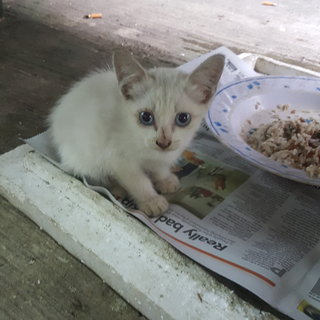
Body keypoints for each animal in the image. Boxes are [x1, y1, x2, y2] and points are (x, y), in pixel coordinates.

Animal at [49, 48, 225, 216]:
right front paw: (151, 200)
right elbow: (138, 181)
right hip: (85, 155)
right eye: (145, 117)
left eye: (183, 118)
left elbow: (160, 167)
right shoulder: (119, 158)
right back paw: (116, 188)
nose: (163, 142)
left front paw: (164, 179)